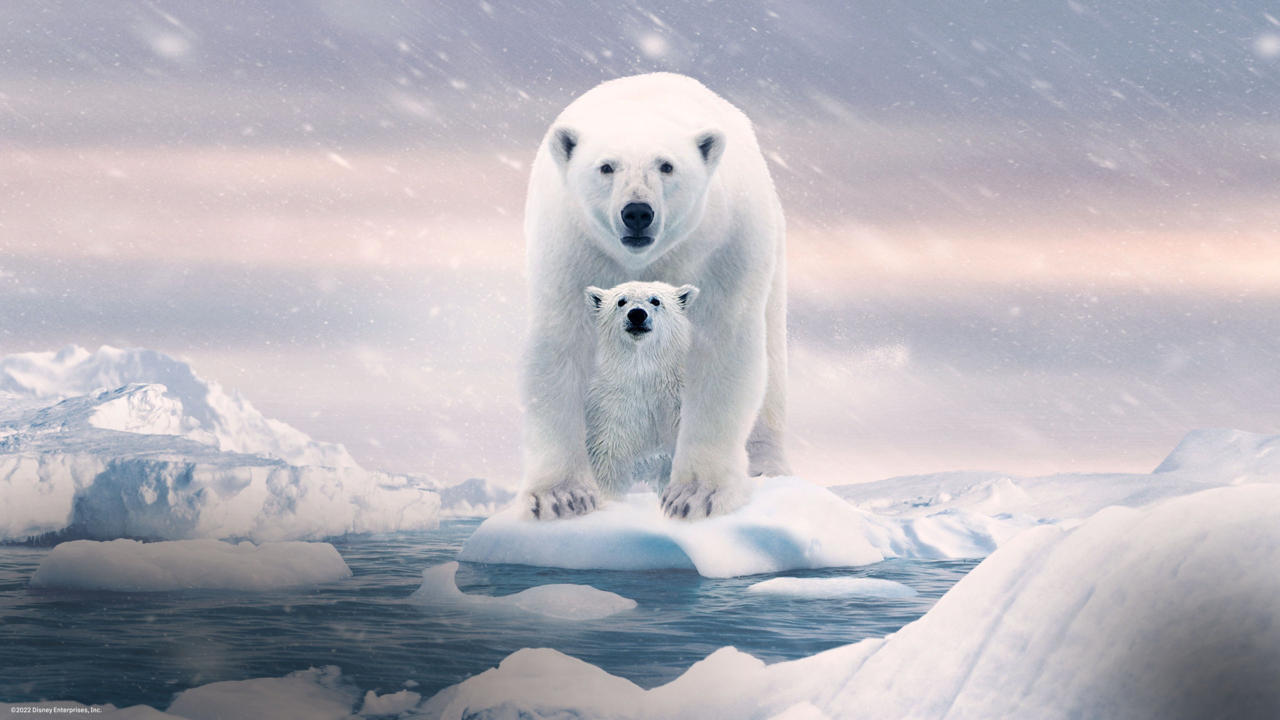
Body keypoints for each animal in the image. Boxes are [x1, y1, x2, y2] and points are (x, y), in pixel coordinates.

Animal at [576, 281, 699, 511]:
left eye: (656, 300)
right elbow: (609, 465)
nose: (637, 314)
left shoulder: (676, 406)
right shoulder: (611, 412)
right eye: (621, 301)